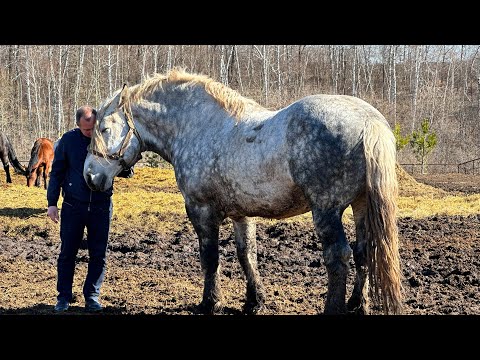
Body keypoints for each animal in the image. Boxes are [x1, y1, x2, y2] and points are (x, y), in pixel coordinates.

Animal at [82, 68, 402, 316]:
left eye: (105, 128)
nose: (89, 176)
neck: (198, 126)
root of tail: (369, 122)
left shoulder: (200, 210)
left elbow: (210, 257)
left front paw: (210, 303)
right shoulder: (241, 214)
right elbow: (247, 255)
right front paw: (254, 301)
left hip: (326, 210)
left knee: (338, 256)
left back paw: (333, 308)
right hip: (361, 206)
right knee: (364, 252)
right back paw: (357, 305)